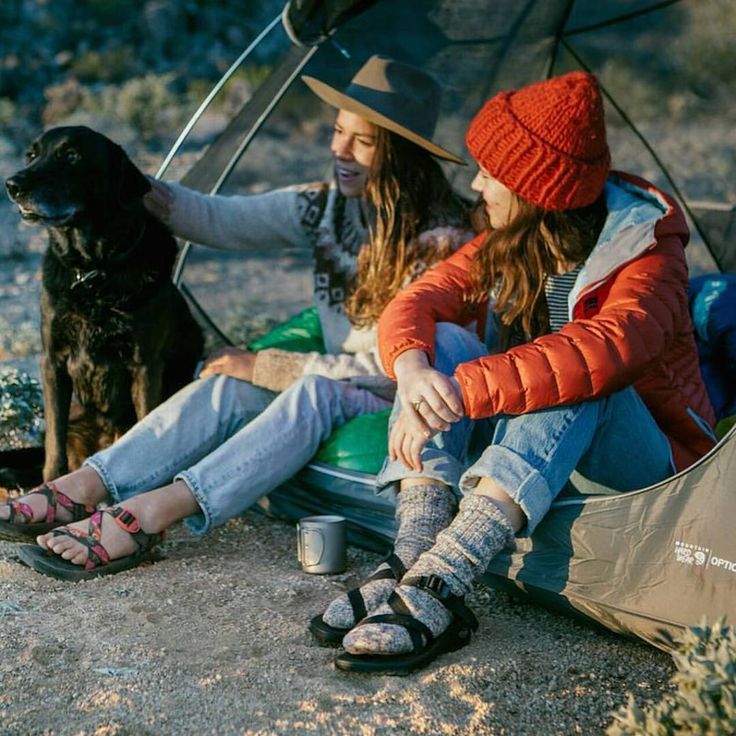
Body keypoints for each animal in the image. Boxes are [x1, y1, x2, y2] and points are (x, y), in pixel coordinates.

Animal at [5, 126, 204, 480]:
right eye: (32, 155)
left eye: (71, 155)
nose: (12, 185)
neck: (93, 272)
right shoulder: (52, 361)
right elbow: (54, 442)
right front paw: (52, 481)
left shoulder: (145, 364)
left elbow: (146, 428)